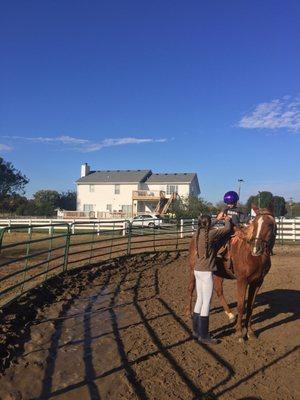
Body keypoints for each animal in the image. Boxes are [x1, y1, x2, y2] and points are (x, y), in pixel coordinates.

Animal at [188, 209, 276, 340]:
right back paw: (188, 313)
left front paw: (250, 332)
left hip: (218, 273)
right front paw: (239, 333)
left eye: (269, 225)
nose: (256, 248)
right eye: (255, 224)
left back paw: (230, 314)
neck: (252, 256)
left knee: (219, 290)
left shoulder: (257, 282)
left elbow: (250, 307)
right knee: (190, 289)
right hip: (192, 270)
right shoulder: (242, 281)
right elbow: (241, 306)